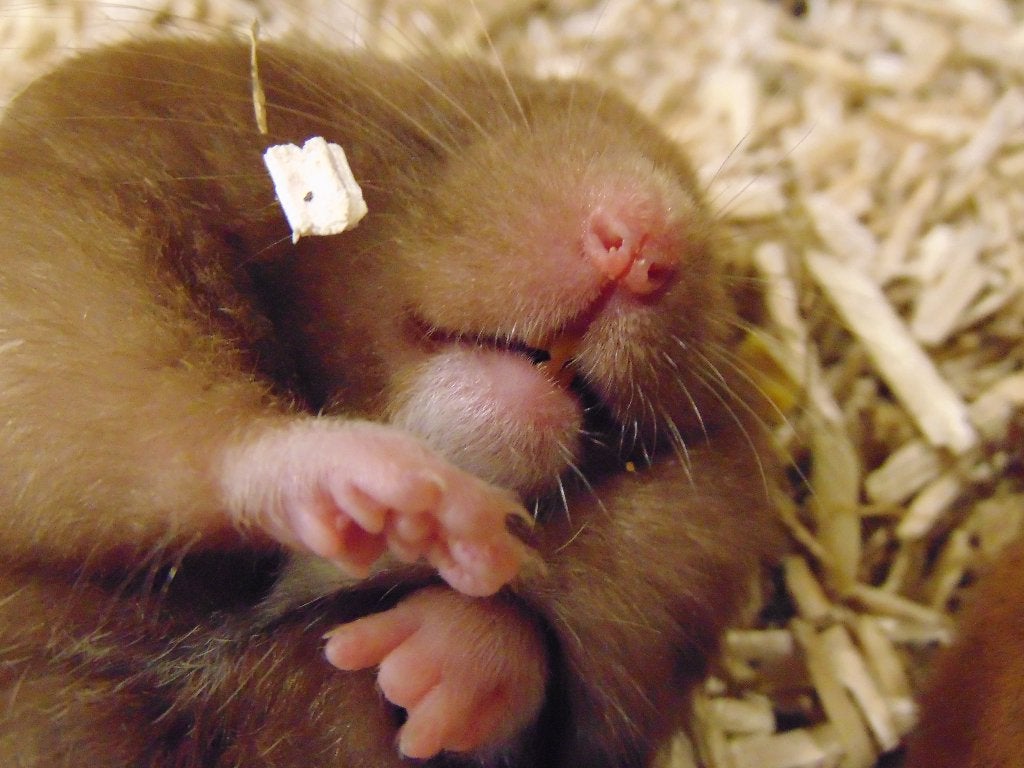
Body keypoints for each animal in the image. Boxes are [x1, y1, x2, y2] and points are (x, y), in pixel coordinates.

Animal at [0, 31, 783, 768]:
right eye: (488, 104)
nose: (644, 241)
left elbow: (530, 656)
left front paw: (423, 659)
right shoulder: (79, 223)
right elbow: (171, 421)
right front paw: (416, 502)